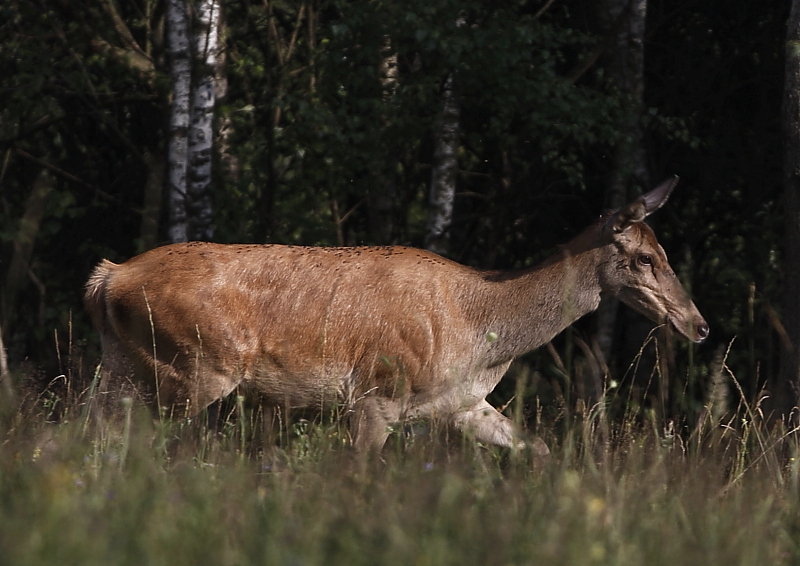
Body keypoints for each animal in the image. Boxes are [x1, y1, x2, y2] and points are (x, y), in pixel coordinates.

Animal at [83, 175, 708, 454]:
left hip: (124, 365)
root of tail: (106, 278)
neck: (480, 332)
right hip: (193, 366)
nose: (698, 324)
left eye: (664, 252)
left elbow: (538, 447)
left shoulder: (460, 403)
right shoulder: (375, 395)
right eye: (646, 257)